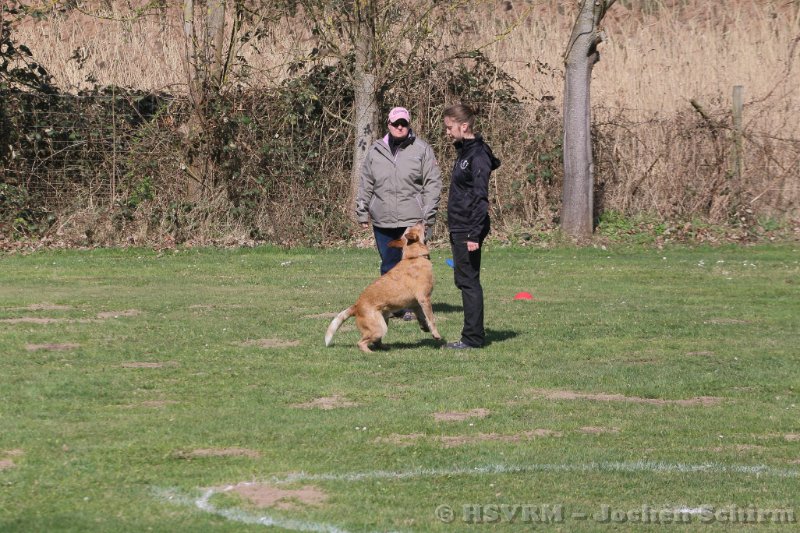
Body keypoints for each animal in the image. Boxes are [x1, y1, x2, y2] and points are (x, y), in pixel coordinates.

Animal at [325, 222, 442, 353]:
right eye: (416, 226)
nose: (421, 221)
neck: (413, 257)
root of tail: (356, 307)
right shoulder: (424, 299)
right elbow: (431, 319)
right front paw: (436, 334)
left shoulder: (415, 304)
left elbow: (422, 318)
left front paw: (424, 328)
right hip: (380, 328)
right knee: (361, 343)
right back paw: (370, 353)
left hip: (384, 319)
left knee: (376, 342)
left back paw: (385, 347)